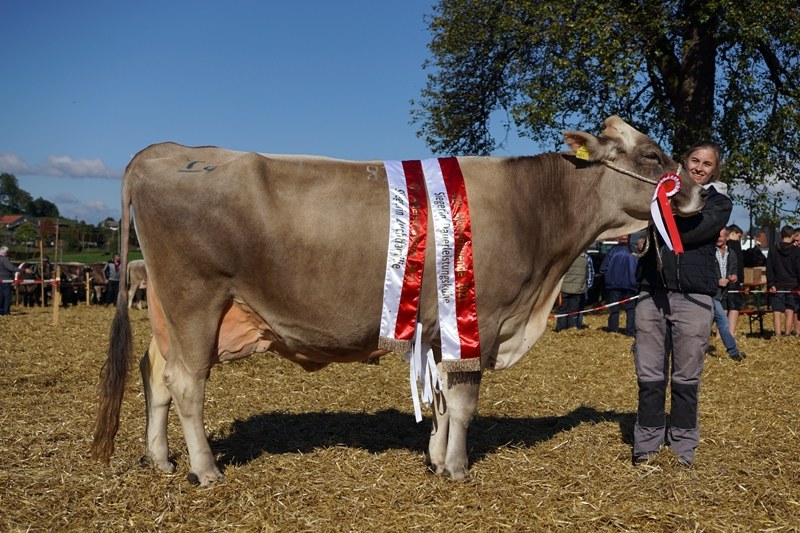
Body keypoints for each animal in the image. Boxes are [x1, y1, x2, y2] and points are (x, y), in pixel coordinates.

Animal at [92, 116, 705, 486]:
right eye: (654, 155)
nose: (700, 190)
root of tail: (164, 151)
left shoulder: (441, 326)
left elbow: (441, 402)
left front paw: (435, 458)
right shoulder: (480, 319)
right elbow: (464, 402)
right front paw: (457, 468)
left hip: (170, 308)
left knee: (155, 371)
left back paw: (160, 458)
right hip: (196, 298)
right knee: (186, 383)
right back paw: (205, 469)